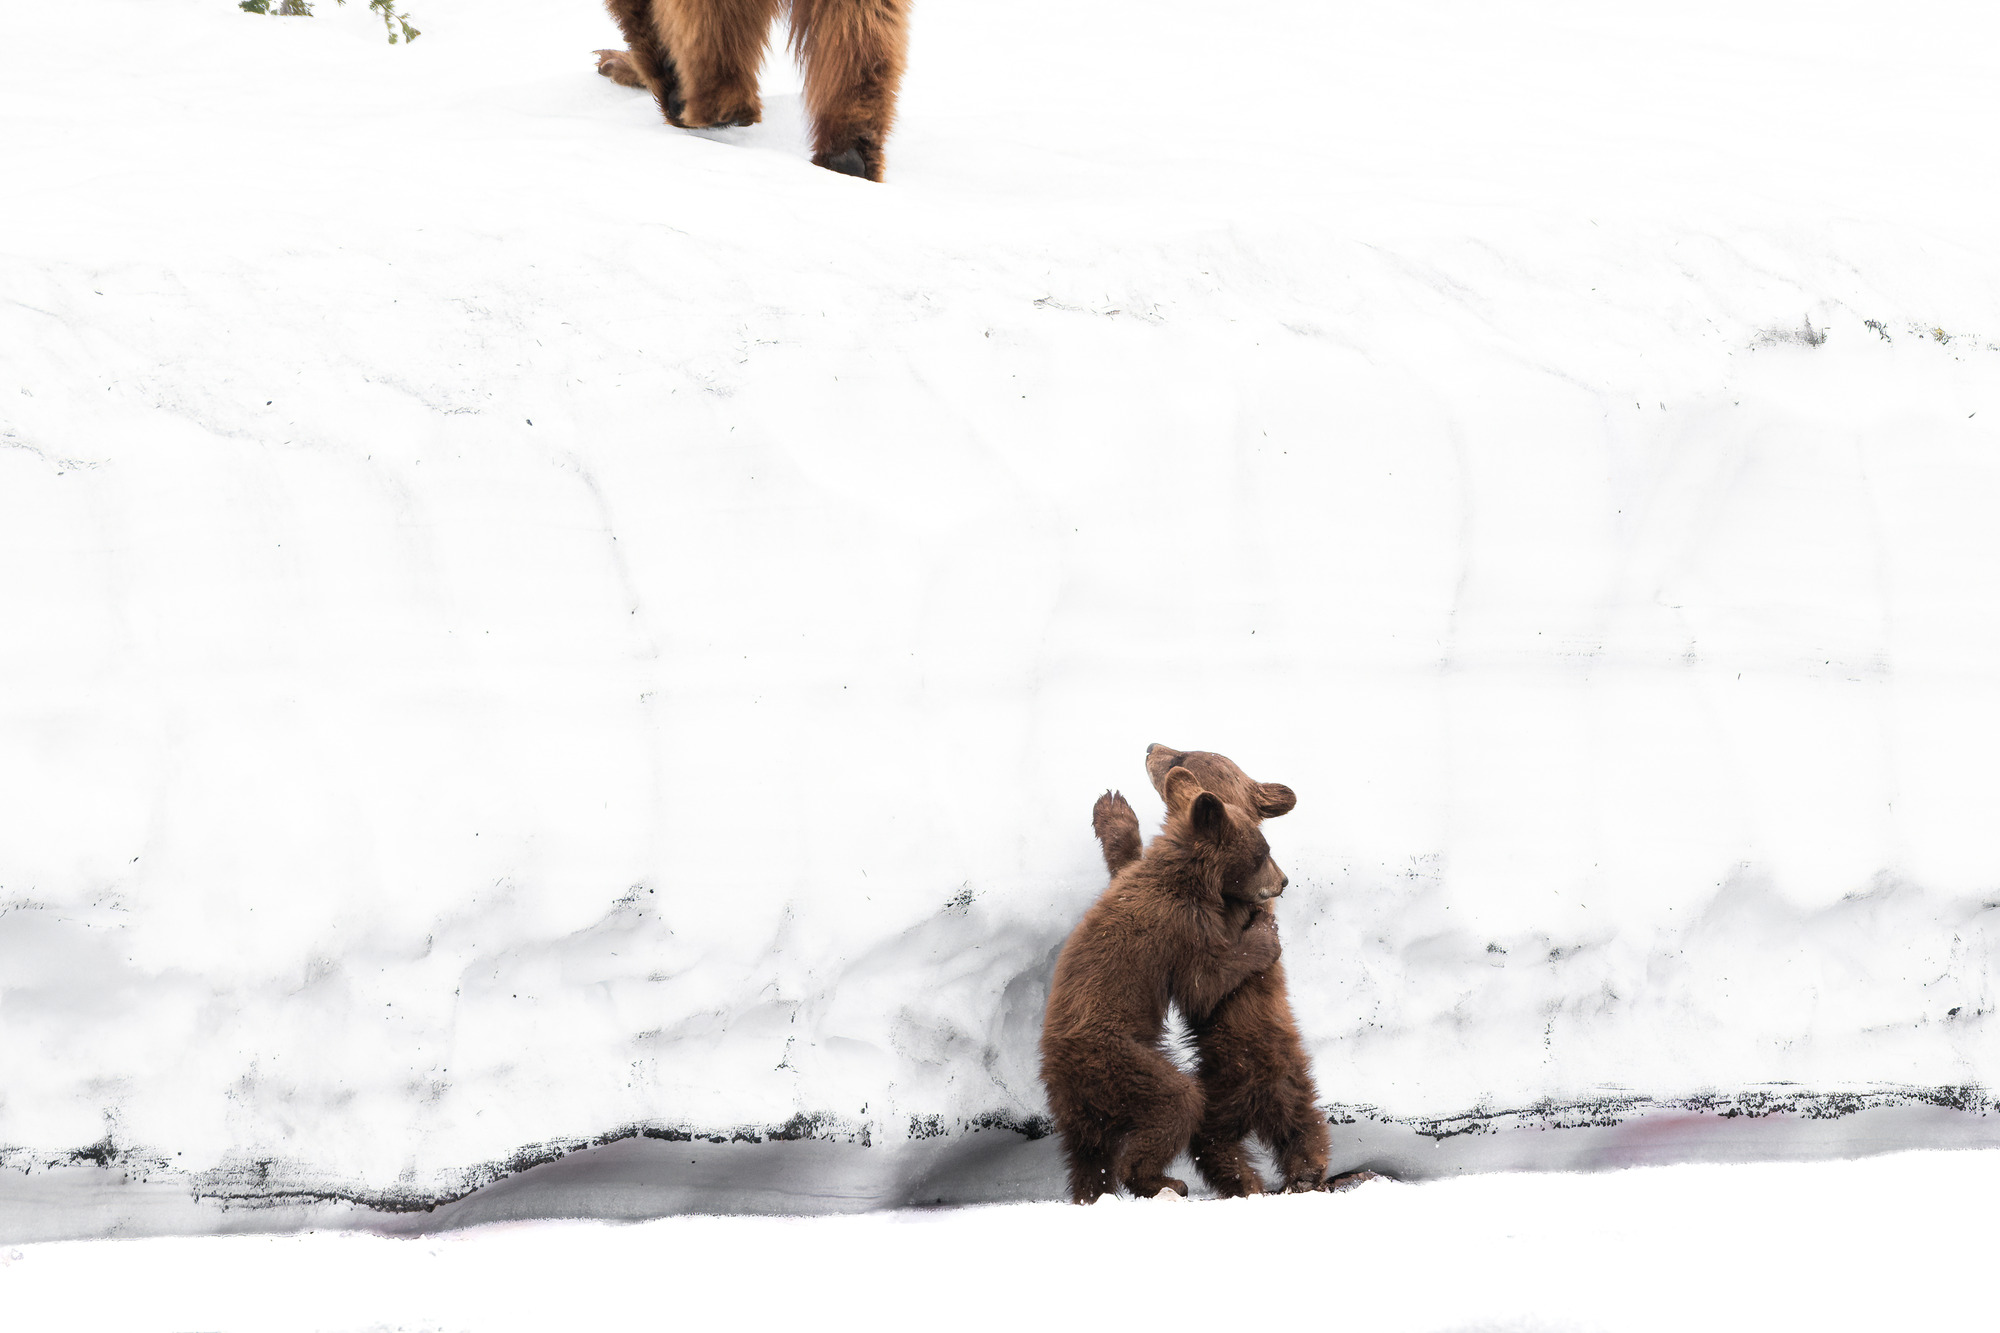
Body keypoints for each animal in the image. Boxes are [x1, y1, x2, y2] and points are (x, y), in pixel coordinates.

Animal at [1040, 766, 1290, 1204]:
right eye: (1263, 852)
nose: (1284, 881)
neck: (1189, 879)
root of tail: (1062, 1077)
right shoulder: (1180, 928)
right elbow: (1203, 985)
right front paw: (1264, 934)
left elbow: (1122, 861)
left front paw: (1113, 809)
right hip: (1118, 1061)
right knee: (1176, 1103)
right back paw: (1163, 1181)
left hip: (1079, 1113)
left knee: (1087, 1160)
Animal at [1090, 743, 1332, 1197]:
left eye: (1180, 755)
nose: (1151, 747)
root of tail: (1260, 1103)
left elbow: (1128, 872)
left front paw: (1113, 810)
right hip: (1264, 1087)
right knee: (1290, 1129)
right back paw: (1282, 1175)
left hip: (1232, 1086)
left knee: (1223, 1137)